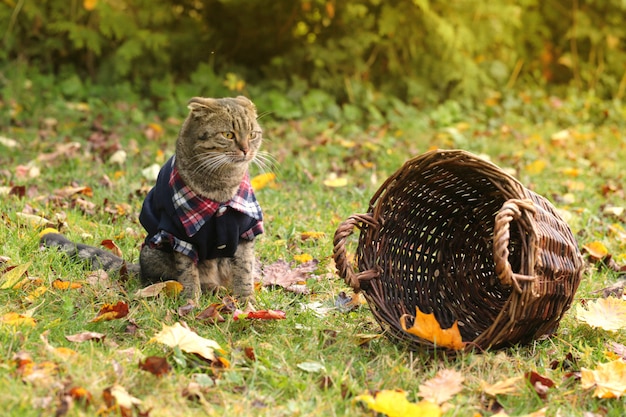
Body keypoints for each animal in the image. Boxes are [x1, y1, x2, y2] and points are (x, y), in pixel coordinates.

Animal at [40, 96, 266, 308]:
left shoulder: (246, 231)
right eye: (228, 135)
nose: (246, 150)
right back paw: (211, 288)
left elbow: (244, 270)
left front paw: (246, 301)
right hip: (153, 252)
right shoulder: (178, 235)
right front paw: (191, 302)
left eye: (252, 134)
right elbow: (188, 274)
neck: (220, 190)